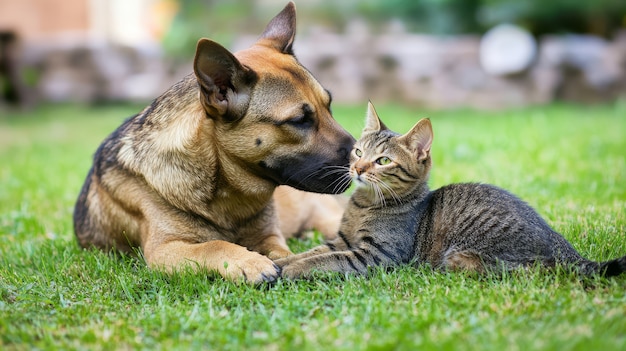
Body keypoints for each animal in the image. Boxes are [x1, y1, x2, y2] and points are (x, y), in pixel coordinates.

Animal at [72, 1, 352, 284]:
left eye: (329, 105)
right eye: (299, 120)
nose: (360, 159)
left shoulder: (269, 236)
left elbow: (282, 251)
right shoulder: (163, 249)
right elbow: (213, 245)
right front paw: (248, 261)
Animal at [276, 102, 624, 280]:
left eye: (383, 160)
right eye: (359, 152)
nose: (357, 169)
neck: (364, 205)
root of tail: (565, 247)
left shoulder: (375, 255)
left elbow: (327, 261)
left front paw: (293, 269)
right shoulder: (341, 240)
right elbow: (313, 252)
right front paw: (279, 263)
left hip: (471, 252)